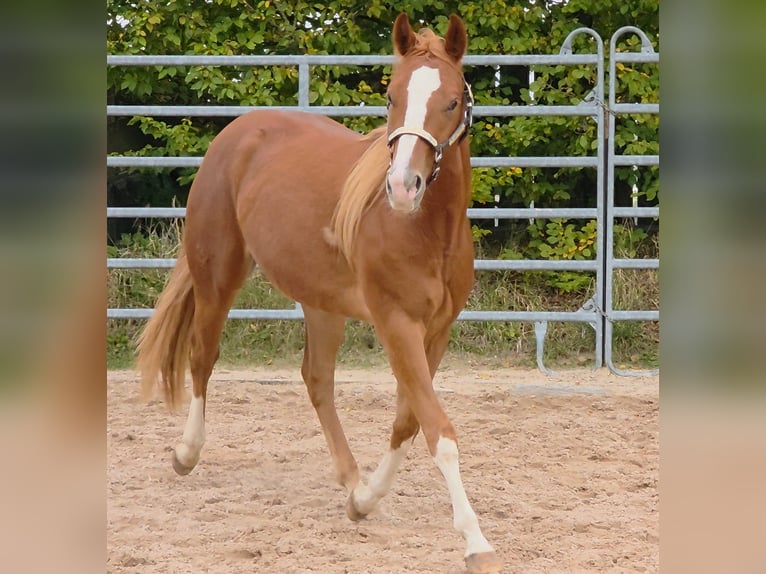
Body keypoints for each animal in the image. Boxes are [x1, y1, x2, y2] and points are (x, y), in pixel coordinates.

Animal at [137, 13, 502, 574]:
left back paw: (351, 480)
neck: (425, 230)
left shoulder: (436, 333)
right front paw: (475, 541)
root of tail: (238, 131)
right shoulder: (397, 324)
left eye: (452, 101)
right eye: (392, 96)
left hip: (320, 303)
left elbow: (409, 422)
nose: (403, 187)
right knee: (202, 357)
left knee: (317, 380)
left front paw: (365, 499)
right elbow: (438, 431)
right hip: (218, 275)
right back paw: (186, 453)